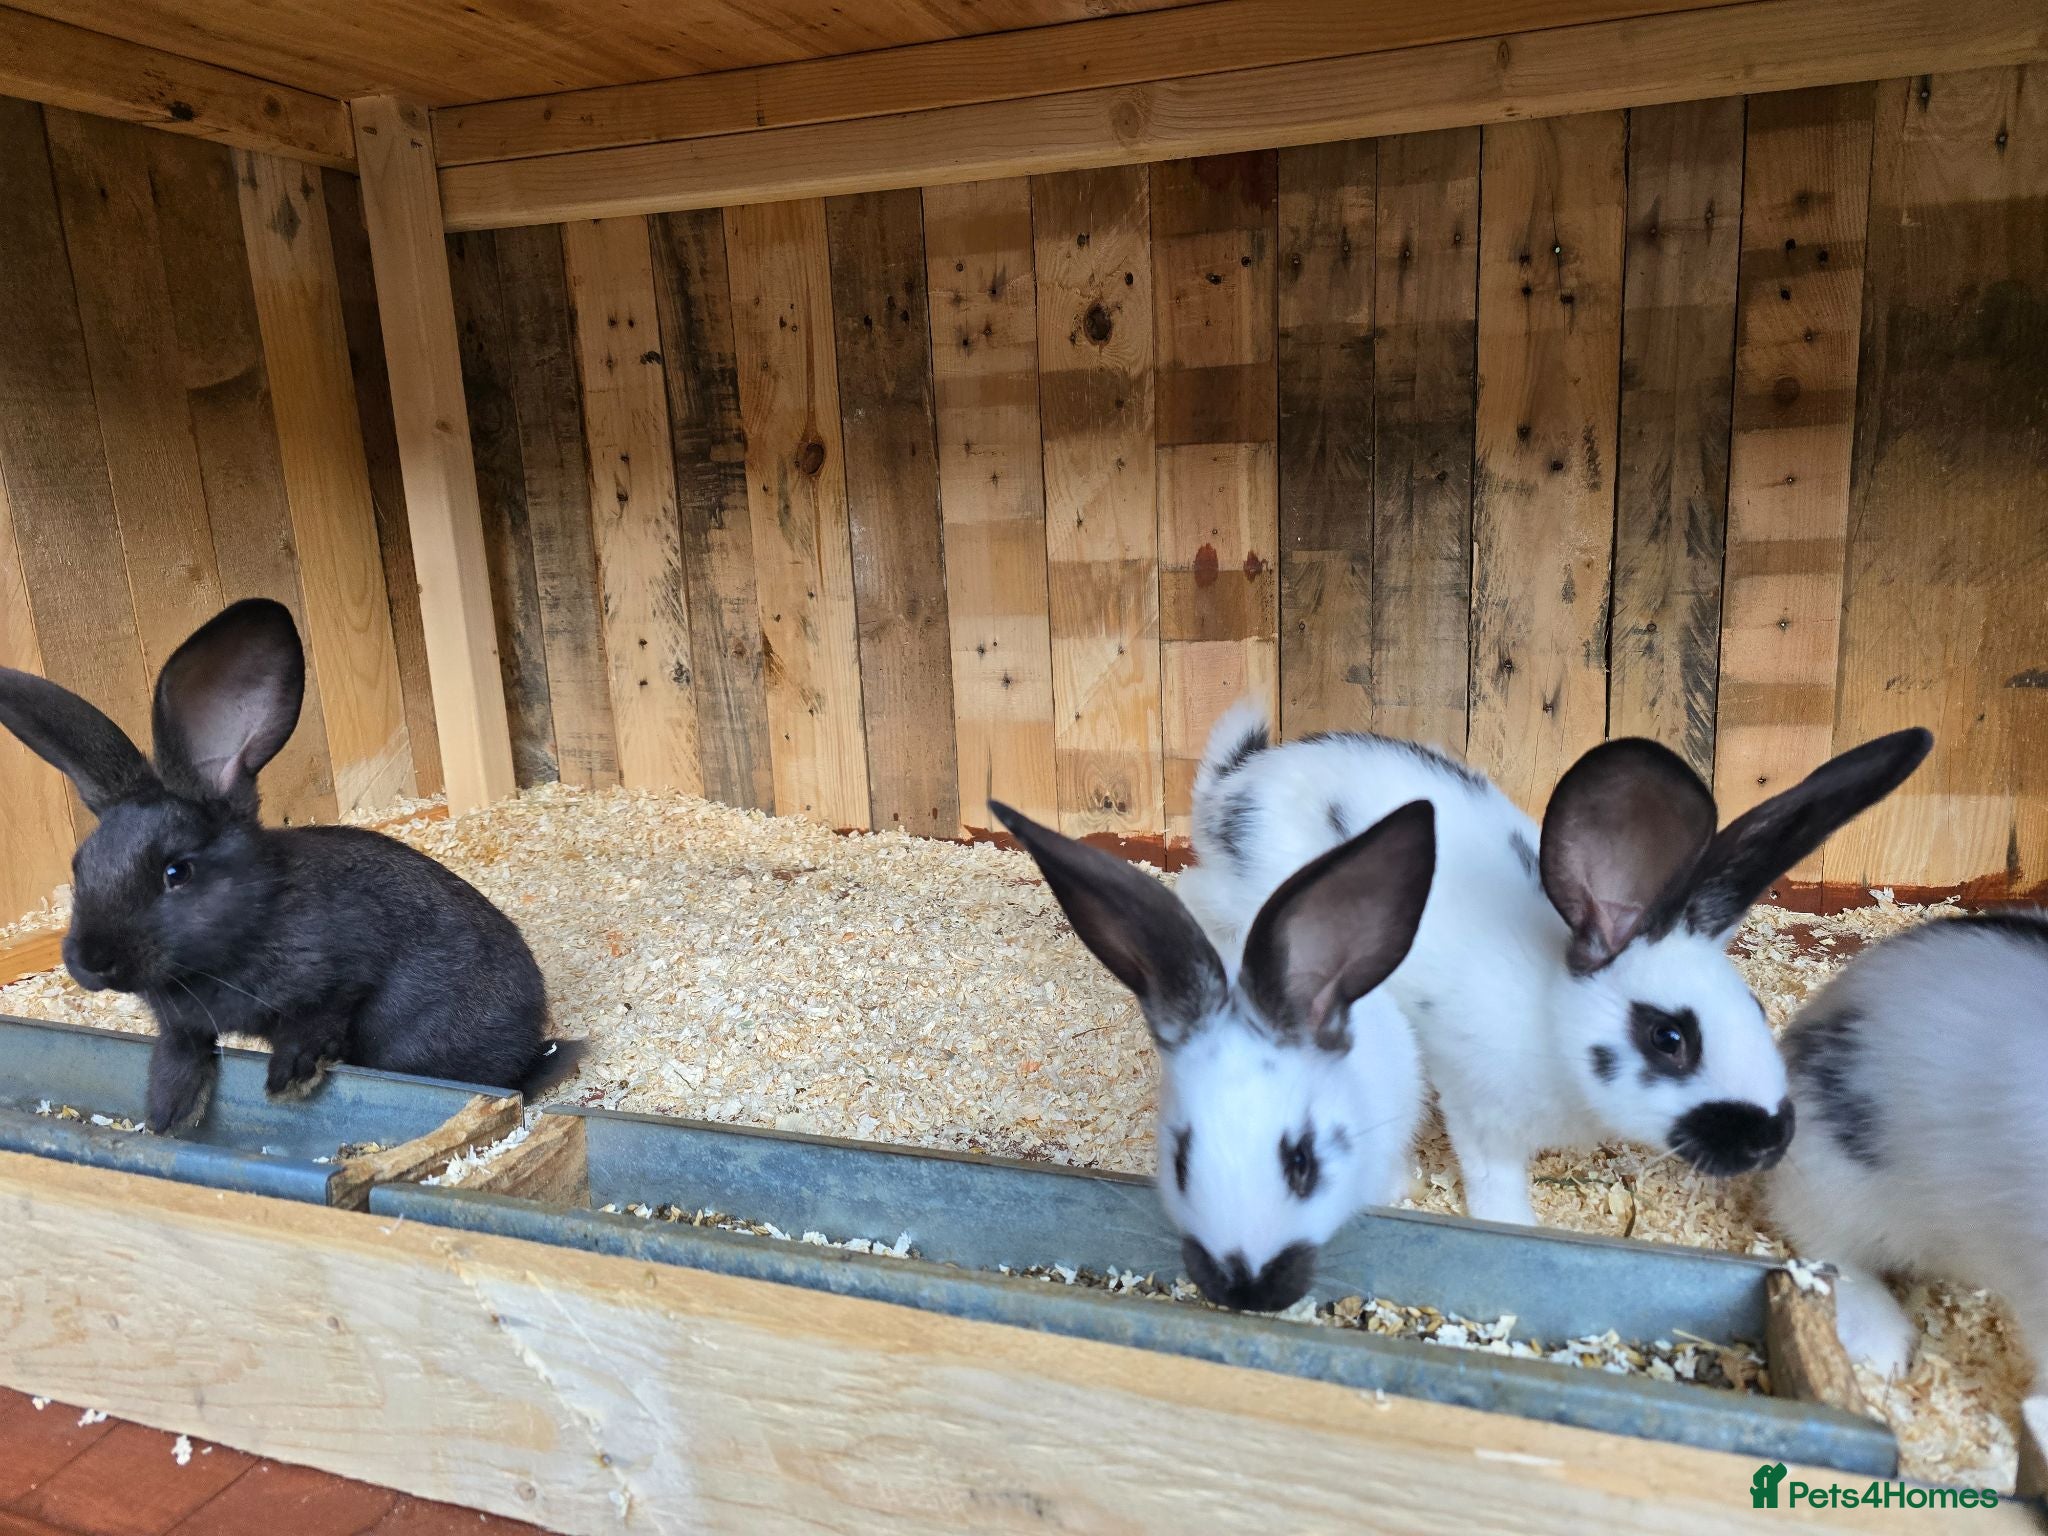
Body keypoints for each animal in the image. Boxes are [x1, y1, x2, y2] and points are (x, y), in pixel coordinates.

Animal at [0, 598, 562, 1134]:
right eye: (80, 865)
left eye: (177, 872)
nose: (90, 961)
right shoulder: (182, 1024)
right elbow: (181, 1049)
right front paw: (168, 1113)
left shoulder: (341, 977)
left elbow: (312, 1025)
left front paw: (288, 1082)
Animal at [1175, 699, 1932, 1227]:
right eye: (1668, 1038)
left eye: (1754, 1007)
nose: (1772, 1141)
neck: (1549, 1014)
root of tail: (1232, 789)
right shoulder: (1479, 1107)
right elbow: (1493, 1179)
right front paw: (1512, 1224)